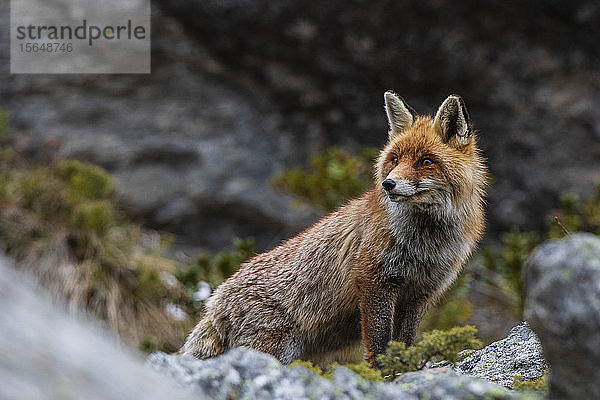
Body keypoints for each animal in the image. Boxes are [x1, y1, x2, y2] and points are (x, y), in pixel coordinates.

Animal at [183, 92, 488, 368]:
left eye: (426, 161)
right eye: (394, 159)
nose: (388, 184)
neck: (425, 243)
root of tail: (214, 300)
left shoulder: (419, 293)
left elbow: (405, 342)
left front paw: (404, 370)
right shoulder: (374, 281)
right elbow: (379, 344)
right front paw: (381, 376)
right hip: (274, 348)